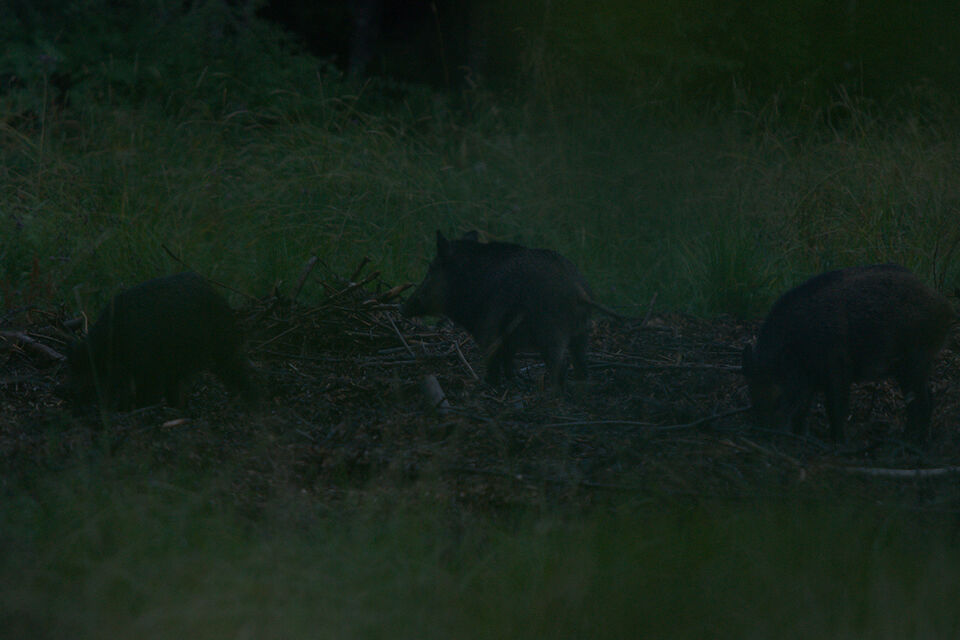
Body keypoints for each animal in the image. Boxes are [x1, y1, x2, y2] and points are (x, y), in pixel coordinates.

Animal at [67, 272, 255, 409]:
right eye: (72, 369)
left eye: (89, 376)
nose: (68, 393)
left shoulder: (149, 366)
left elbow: (149, 392)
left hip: (220, 342)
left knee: (235, 367)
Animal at [402, 231, 611, 387]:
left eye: (431, 268)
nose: (404, 307)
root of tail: (577, 290)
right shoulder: (508, 339)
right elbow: (508, 360)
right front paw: (513, 379)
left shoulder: (488, 331)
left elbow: (493, 360)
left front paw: (489, 383)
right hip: (581, 331)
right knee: (580, 364)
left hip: (552, 332)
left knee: (560, 365)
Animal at [741, 264, 954, 441]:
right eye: (753, 395)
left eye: (778, 399)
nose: (767, 436)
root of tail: (945, 307)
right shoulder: (809, 383)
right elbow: (804, 409)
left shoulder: (838, 369)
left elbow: (835, 408)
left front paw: (837, 442)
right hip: (905, 368)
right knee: (919, 399)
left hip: (917, 360)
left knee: (925, 400)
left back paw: (917, 441)